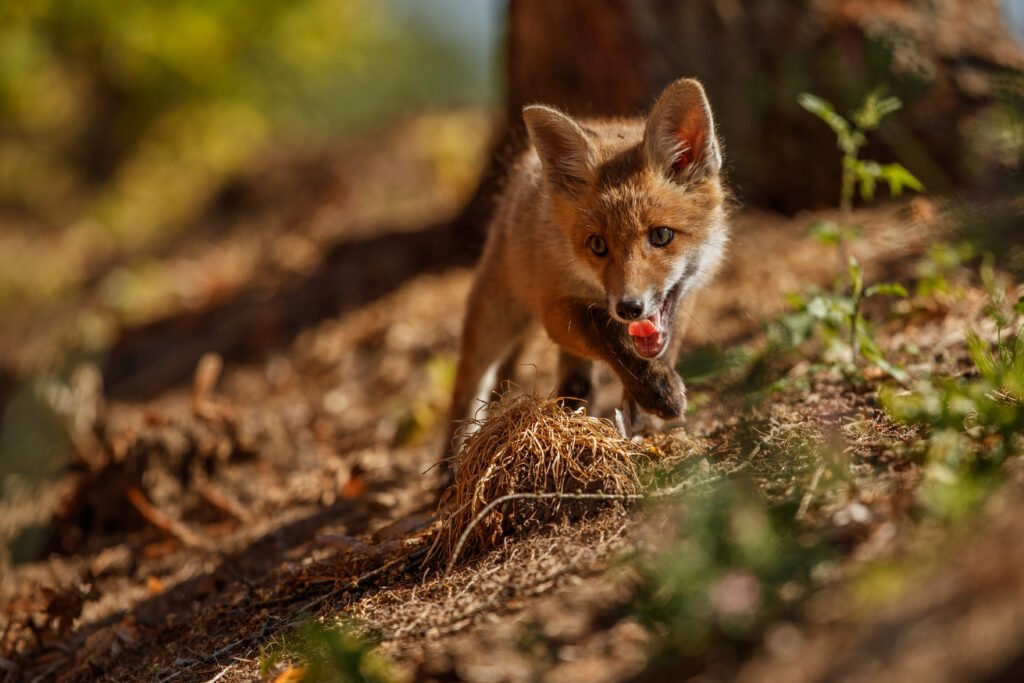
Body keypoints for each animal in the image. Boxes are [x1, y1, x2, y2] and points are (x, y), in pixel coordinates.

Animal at [445, 78, 729, 462]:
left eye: (661, 235)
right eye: (597, 245)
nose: (629, 307)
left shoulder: (686, 295)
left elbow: (662, 346)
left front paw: (643, 409)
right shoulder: (556, 310)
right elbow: (605, 332)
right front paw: (655, 391)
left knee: (574, 381)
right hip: (495, 317)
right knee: (467, 390)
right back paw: (451, 464)